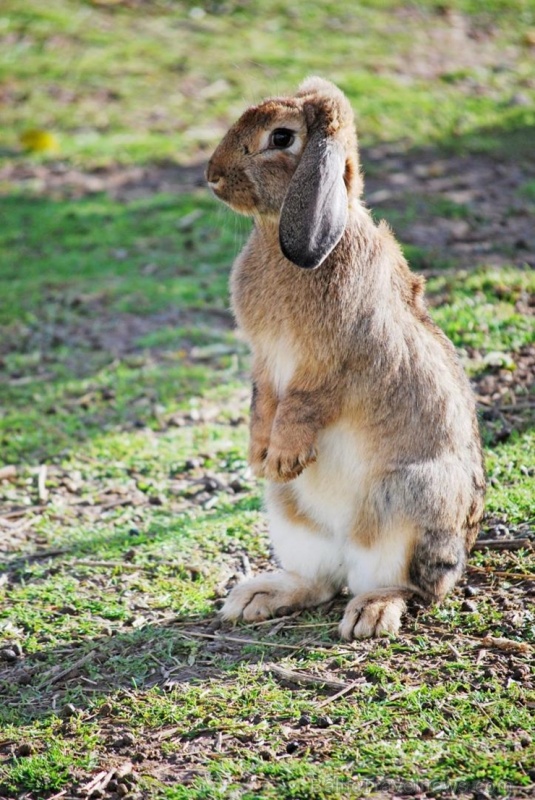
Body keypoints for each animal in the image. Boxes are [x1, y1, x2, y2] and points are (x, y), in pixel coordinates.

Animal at [205, 76, 486, 636]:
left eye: (282, 138)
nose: (212, 177)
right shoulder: (264, 360)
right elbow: (264, 397)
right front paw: (260, 454)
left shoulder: (336, 362)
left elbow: (303, 403)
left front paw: (284, 455)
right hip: (291, 515)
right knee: (318, 582)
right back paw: (257, 597)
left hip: (407, 505)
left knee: (405, 586)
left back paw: (370, 615)